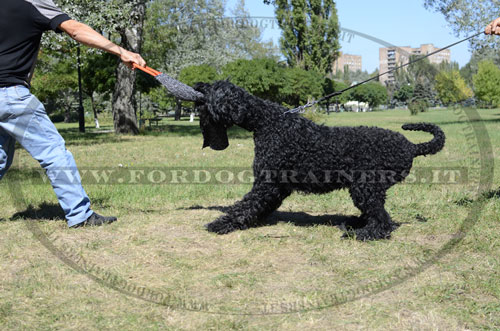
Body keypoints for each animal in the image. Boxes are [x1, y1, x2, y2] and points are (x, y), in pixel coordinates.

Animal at [193, 80, 444, 241]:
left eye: (215, 88)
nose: (197, 85)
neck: (266, 122)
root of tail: (411, 146)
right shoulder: (276, 186)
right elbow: (255, 205)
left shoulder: (266, 183)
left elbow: (244, 204)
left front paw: (221, 223)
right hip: (368, 190)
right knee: (374, 214)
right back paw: (355, 223)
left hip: (366, 188)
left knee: (382, 220)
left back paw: (363, 234)